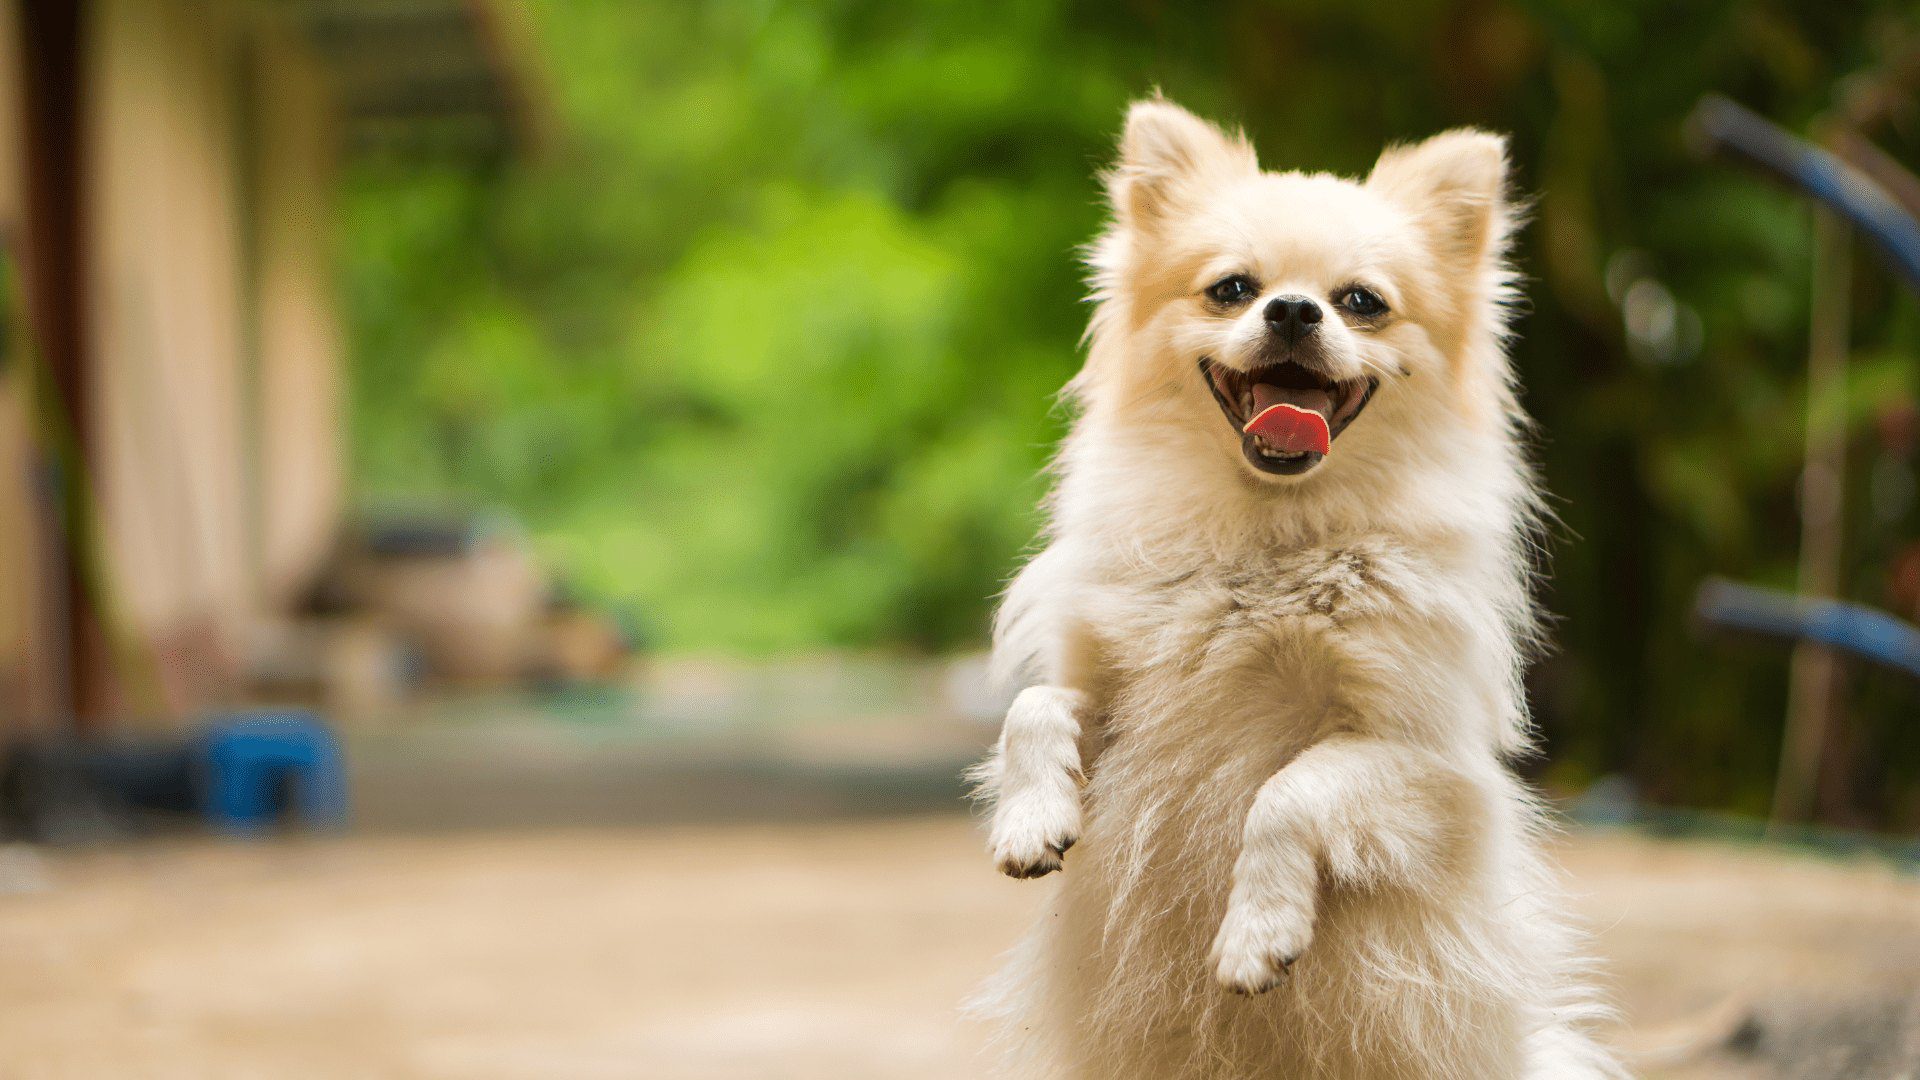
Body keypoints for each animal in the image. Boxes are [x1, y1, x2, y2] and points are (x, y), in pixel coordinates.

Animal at [975, 100, 1620, 1076]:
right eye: (1232, 289)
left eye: (1362, 302)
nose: (1291, 309)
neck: (1267, 544)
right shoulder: (1120, 703)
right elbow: (1038, 705)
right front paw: (1028, 819)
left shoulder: (1423, 764)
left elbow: (1288, 791)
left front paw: (1257, 937)